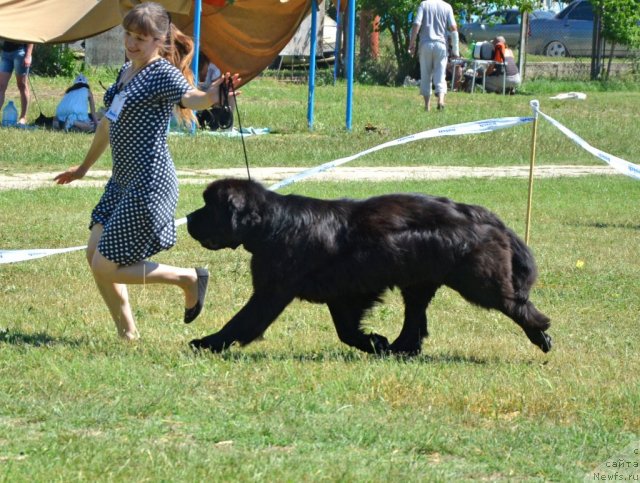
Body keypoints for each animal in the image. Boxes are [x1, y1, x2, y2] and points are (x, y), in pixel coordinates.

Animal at [185, 178, 552, 356]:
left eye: (209, 206)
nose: (188, 218)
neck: (271, 225)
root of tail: (478, 213)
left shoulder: (273, 291)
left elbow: (243, 321)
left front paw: (208, 342)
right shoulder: (342, 293)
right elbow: (346, 331)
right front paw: (376, 343)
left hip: (478, 281)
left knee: (516, 303)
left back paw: (541, 334)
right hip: (418, 281)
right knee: (415, 319)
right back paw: (401, 349)